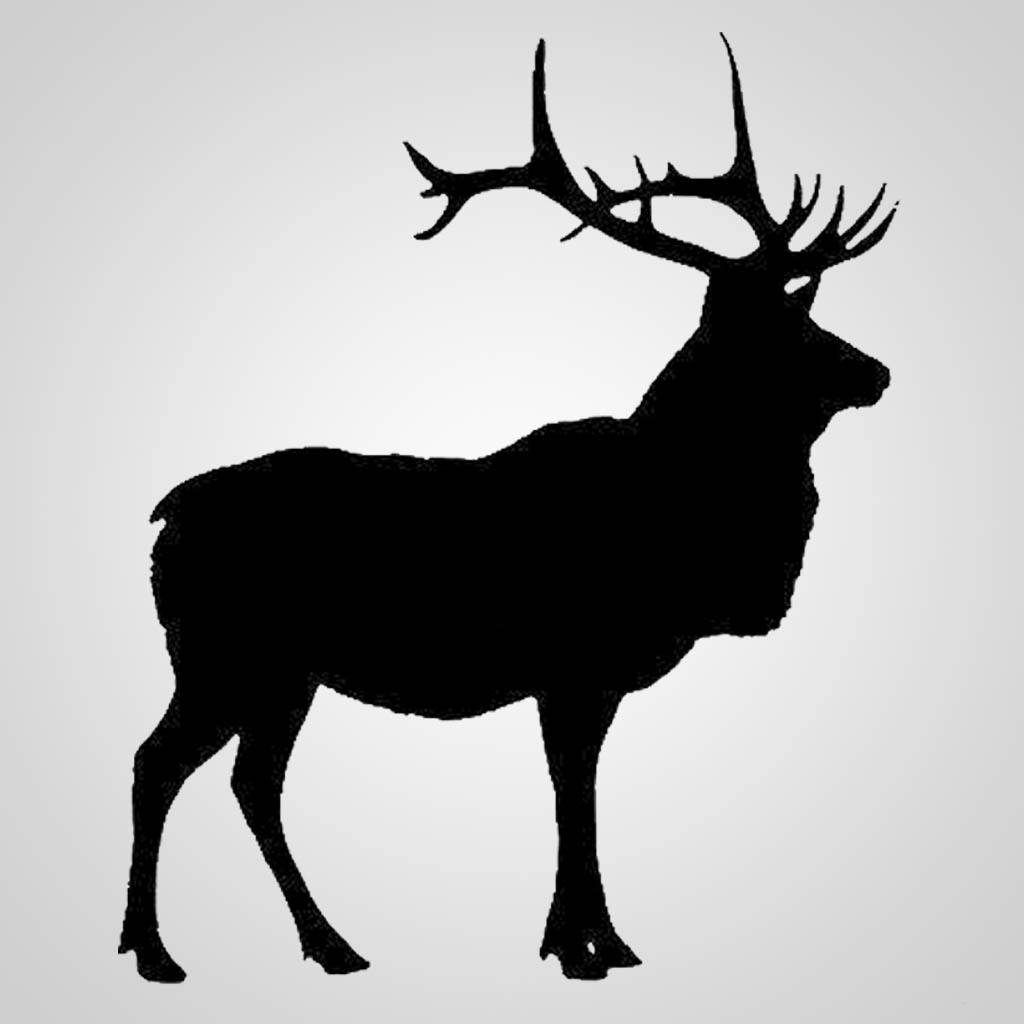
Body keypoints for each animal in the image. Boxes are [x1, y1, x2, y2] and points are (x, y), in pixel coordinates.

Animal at [118, 36, 895, 983]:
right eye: (783, 332)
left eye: (809, 314)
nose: (877, 371)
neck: (690, 523)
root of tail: (165, 517)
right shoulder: (572, 667)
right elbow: (573, 794)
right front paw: (582, 947)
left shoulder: (592, 680)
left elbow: (580, 792)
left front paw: (597, 940)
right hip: (223, 656)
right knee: (158, 763)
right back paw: (155, 950)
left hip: (282, 674)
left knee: (250, 782)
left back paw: (330, 944)